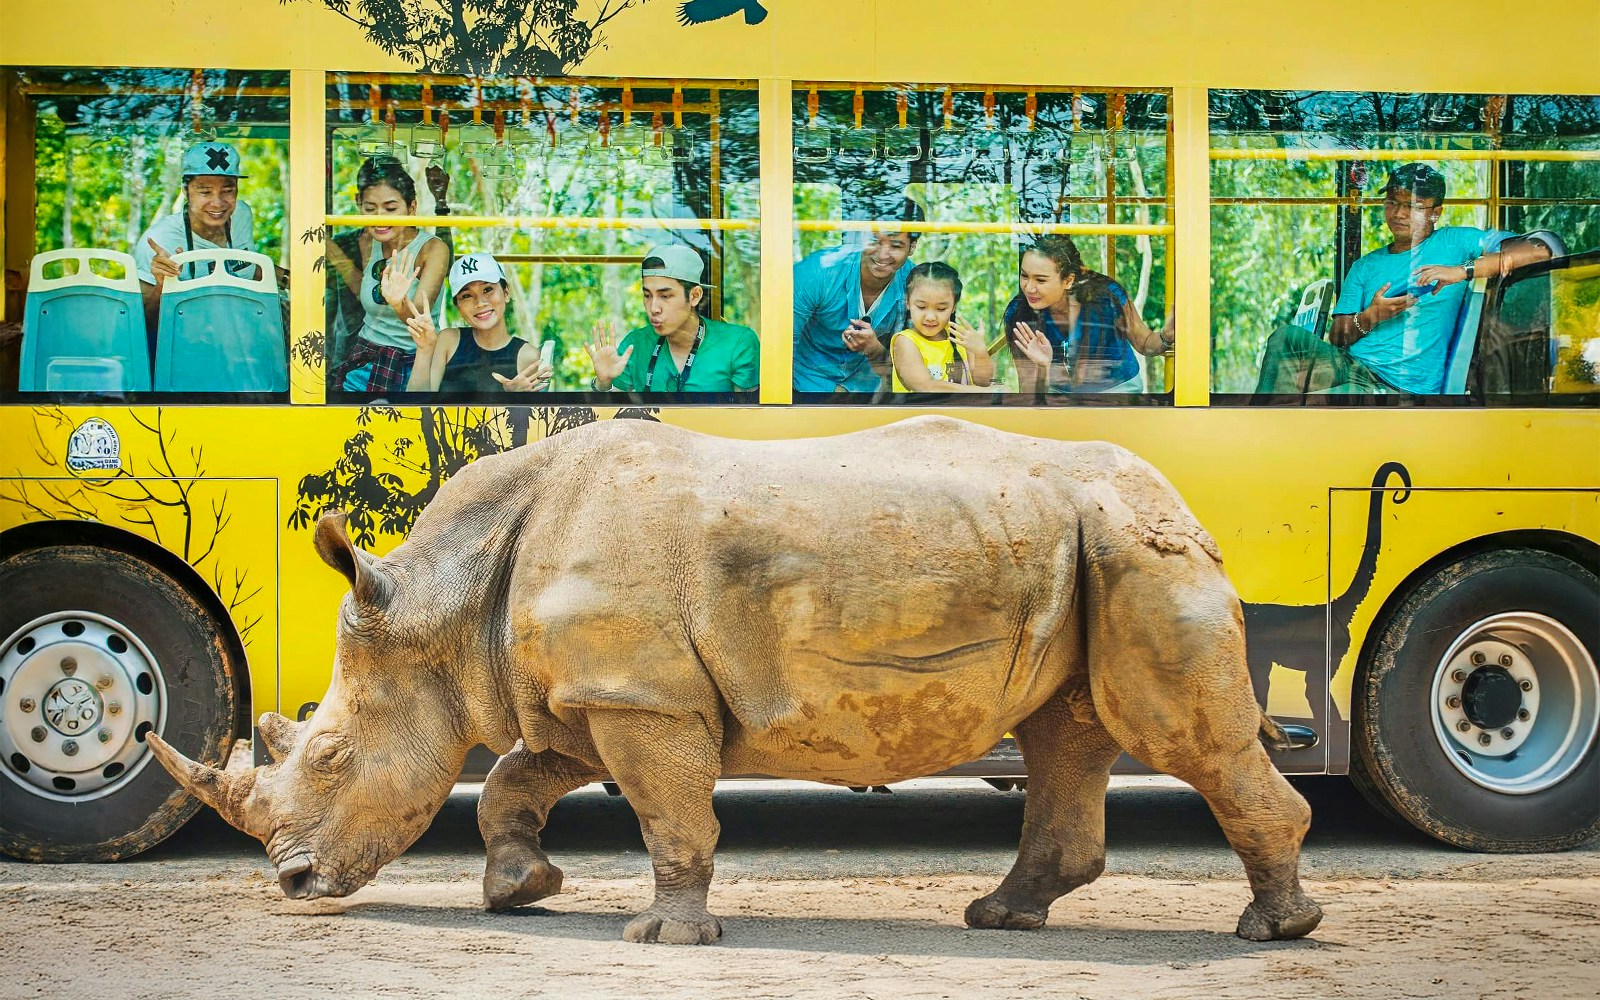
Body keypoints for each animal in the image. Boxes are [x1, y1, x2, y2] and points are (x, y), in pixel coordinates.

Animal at [149, 415, 1323, 944]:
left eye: (331, 755)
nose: (292, 886)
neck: (446, 600)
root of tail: (1181, 503)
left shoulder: (641, 698)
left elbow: (670, 813)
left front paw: (663, 938)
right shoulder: (597, 693)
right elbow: (519, 780)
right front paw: (522, 891)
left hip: (1133, 551)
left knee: (1180, 740)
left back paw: (1273, 931)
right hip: (1084, 550)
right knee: (1065, 735)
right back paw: (997, 916)